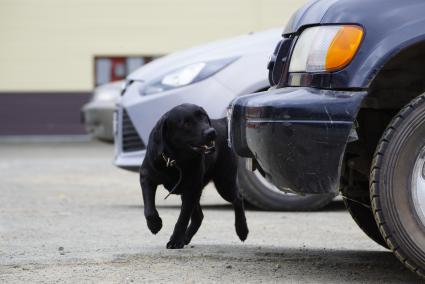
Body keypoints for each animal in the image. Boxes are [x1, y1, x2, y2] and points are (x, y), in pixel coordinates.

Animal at [139, 103, 247, 247]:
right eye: (186, 123)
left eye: (204, 117)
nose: (211, 132)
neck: (175, 160)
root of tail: (222, 122)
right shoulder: (146, 177)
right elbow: (149, 209)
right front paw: (155, 225)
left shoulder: (191, 188)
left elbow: (182, 218)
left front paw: (175, 241)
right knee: (199, 216)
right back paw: (186, 237)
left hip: (223, 182)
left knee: (238, 198)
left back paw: (242, 230)